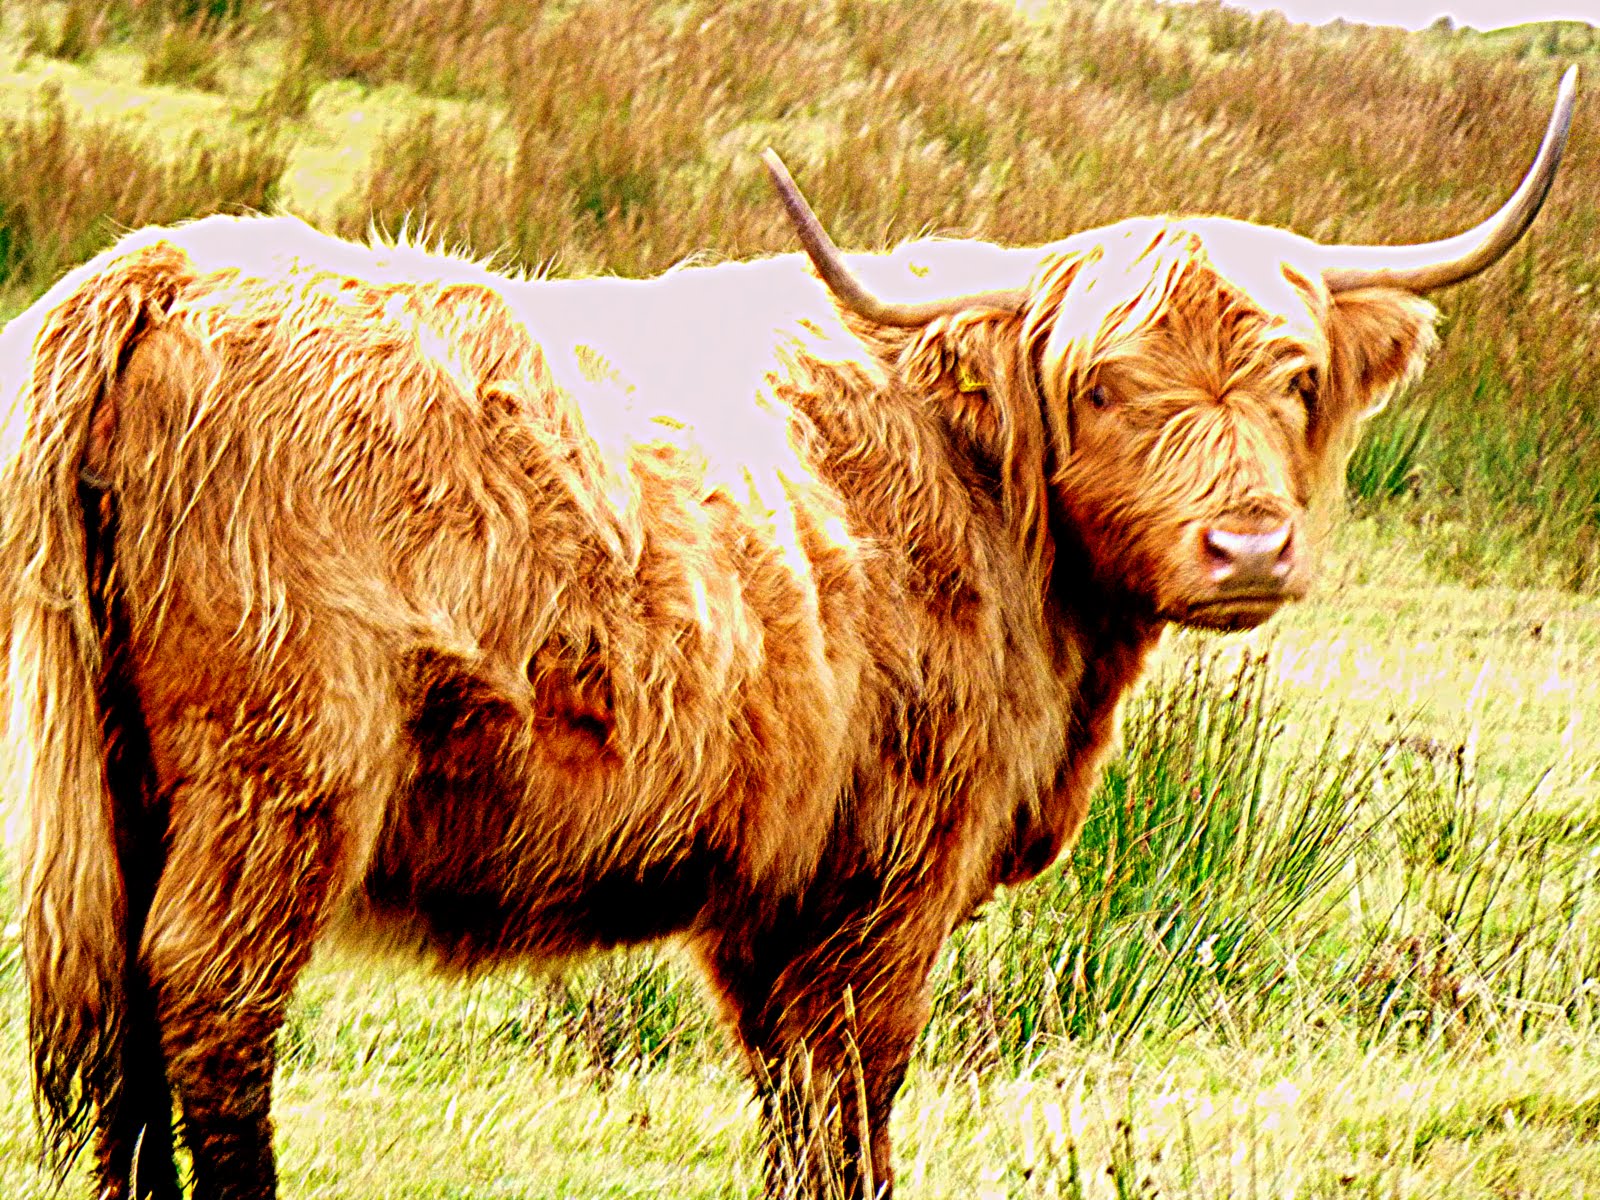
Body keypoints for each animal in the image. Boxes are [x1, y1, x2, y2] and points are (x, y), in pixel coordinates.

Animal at [0, 68, 1575, 1200]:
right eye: (1109, 385)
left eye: (1296, 378)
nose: (1247, 547)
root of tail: (164, 267)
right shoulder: (888, 875)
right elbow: (848, 1101)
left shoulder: (773, 889)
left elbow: (790, 1110)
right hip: (285, 776)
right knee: (209, 1005)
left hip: (104, 786)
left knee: (110, 1029)